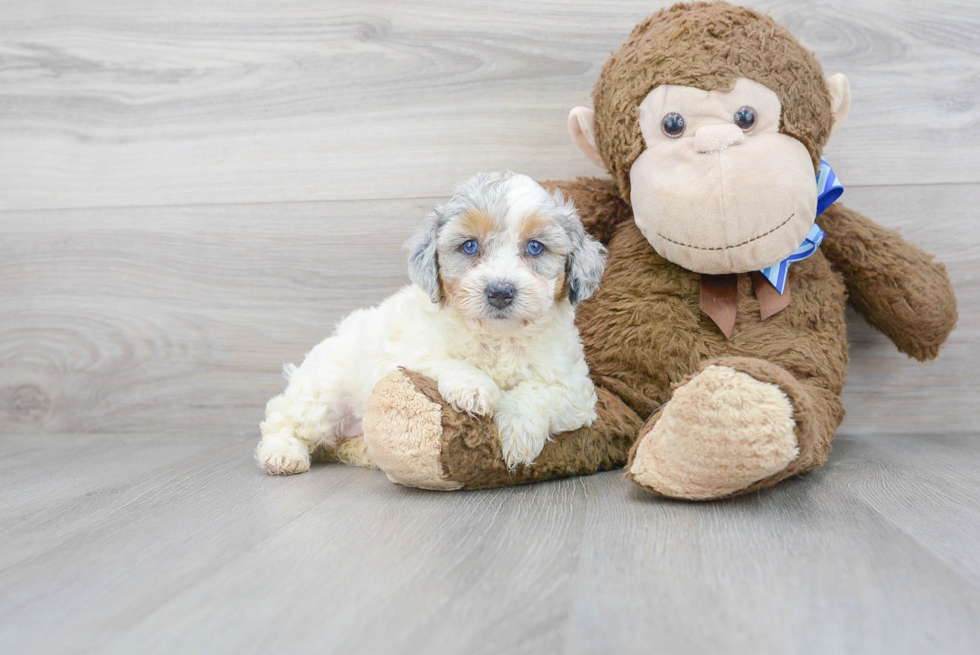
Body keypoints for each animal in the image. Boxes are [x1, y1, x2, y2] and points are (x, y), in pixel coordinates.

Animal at [255, 172, 604, 474]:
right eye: (469, 246)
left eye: (535, 247)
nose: (500, 292)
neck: (498, 337)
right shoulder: (405, 351)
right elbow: (440, 361)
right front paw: (475, 387)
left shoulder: (574, 389)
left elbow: (540, 392)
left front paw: (517, 434)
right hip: (322, 393)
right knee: (283, 419)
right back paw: (283, 454)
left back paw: (366, 451)